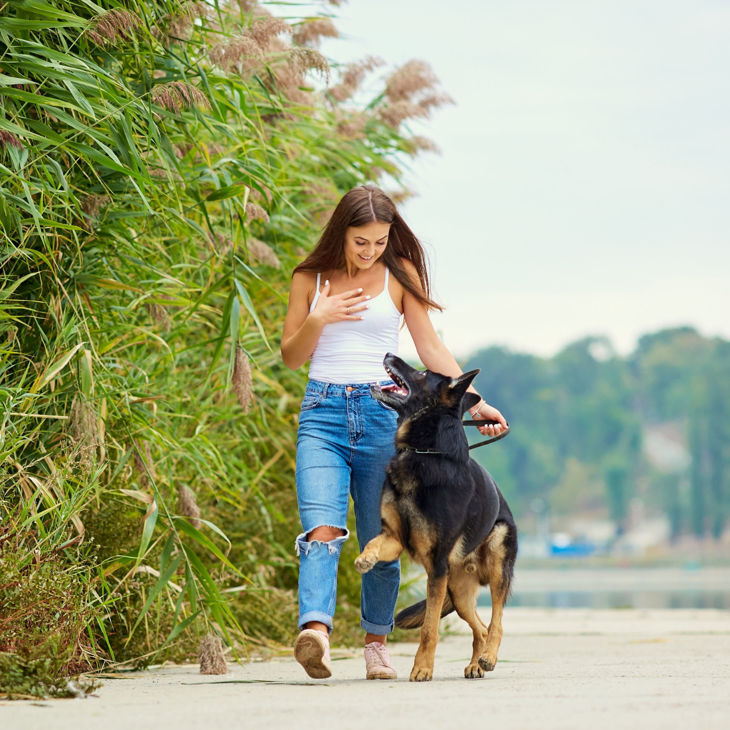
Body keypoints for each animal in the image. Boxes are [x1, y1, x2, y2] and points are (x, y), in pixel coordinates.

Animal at [354, 350, 516, 680]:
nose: (388, 353)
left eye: (421, 373)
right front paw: (365, 559)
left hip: (494, 563)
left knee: (496, 622)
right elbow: (374, 543)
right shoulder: (394, 539)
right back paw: (474, 664)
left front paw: (422, 668)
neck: (422, 452)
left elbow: (429, 629)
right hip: (458, 591)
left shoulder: (437, 567)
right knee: (480, 627)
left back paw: (489, 657)